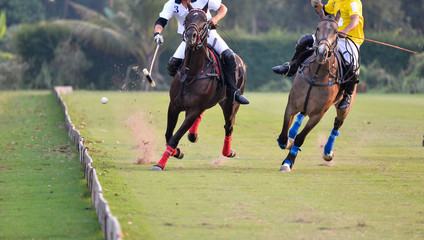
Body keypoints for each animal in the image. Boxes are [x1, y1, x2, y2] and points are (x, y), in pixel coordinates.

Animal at [151, 1, 247, 171]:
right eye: (186, 19)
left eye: (204, 21)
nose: (191, 36)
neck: (192, 72)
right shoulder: (174, 105)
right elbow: (169, 135)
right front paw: (177, 152)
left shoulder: (193, 109)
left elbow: (174, 137)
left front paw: (160, 164)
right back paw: (193, 135)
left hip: (230, 104)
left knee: (229, 126)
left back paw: (228, 152)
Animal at [276, 10, 356, 172]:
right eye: (318, 28)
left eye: (336, 32)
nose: (321, 52)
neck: (315, 75)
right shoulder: (291, 105)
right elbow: (283, 136)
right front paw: (288, 142)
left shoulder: (318, 114)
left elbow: (300, 138)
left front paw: (288, 162)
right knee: (301, 115)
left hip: (344, 108)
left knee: (337, 124)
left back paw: (327, 153)